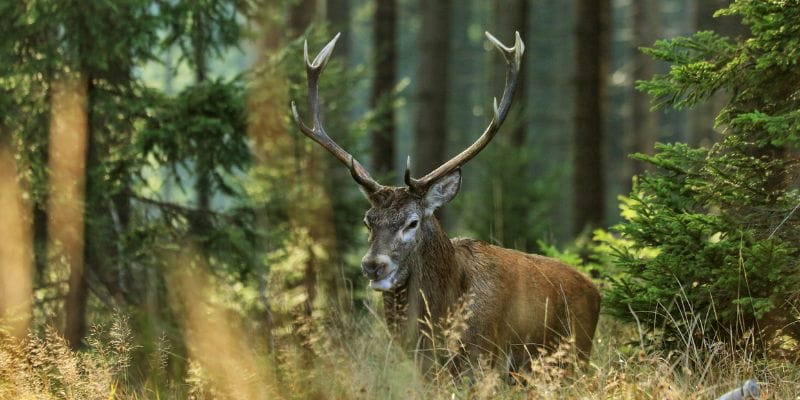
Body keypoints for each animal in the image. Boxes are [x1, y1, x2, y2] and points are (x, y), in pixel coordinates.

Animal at [291, 31, 601, 377]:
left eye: (412, 222)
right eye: (367, 220)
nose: (373, 265)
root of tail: (596, 291)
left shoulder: (484, 358)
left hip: (572, 356)